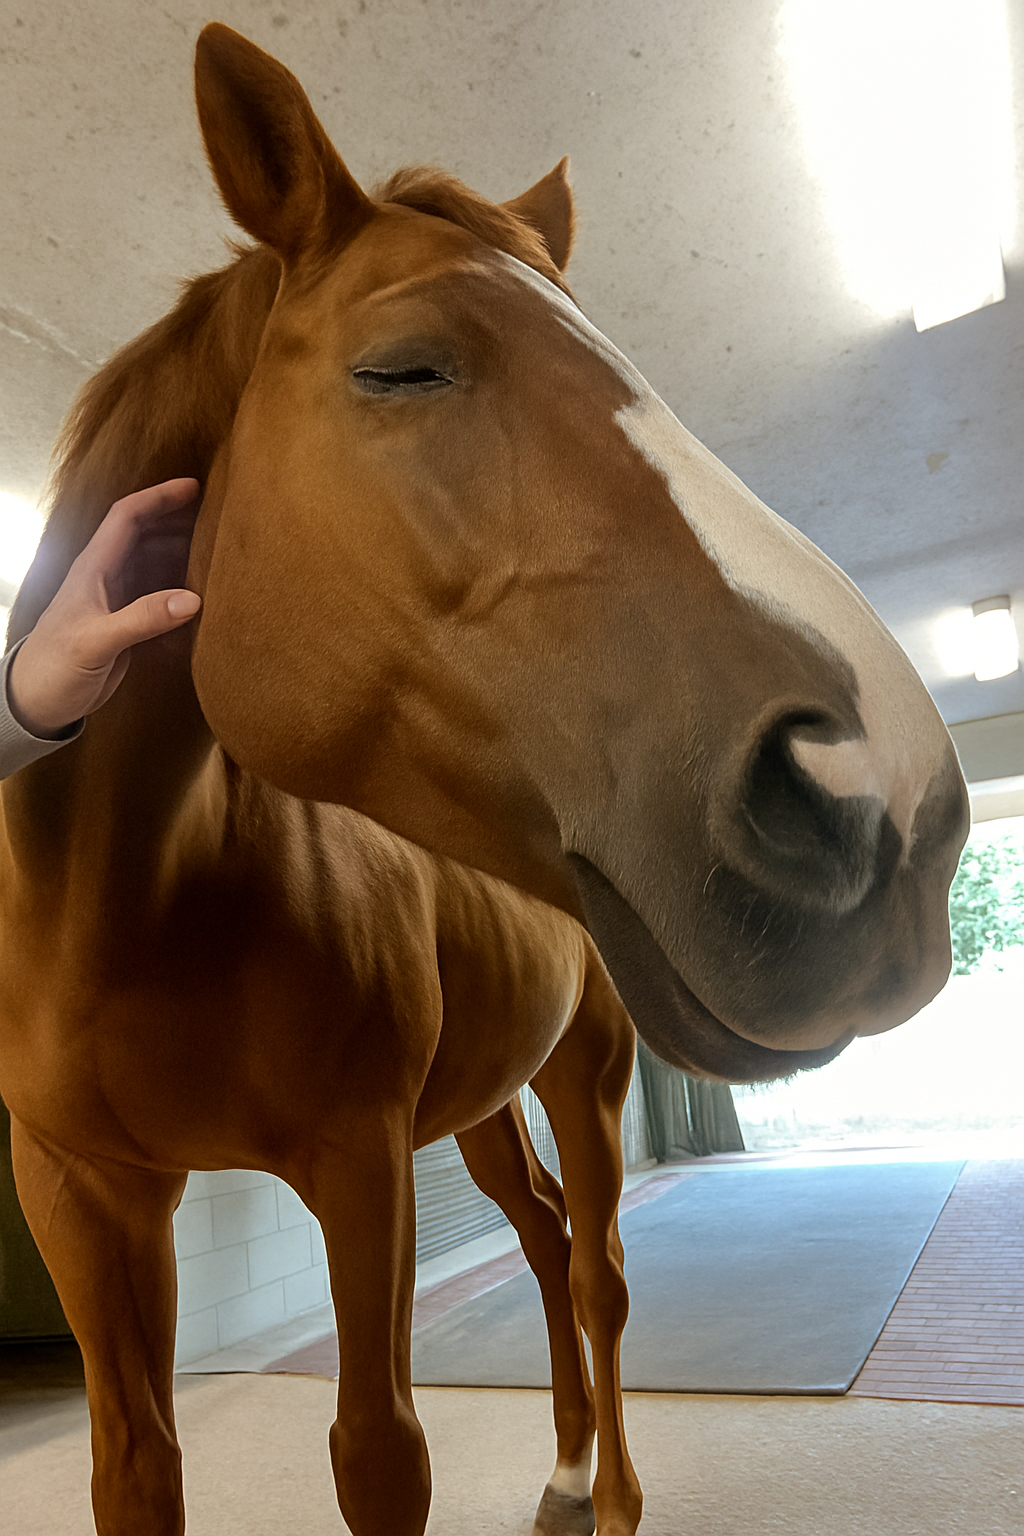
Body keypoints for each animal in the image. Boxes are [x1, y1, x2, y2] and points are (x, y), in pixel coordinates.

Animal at [0, 20, 969, 1536]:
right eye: (402, 369)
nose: (885, 801)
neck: (133, 906)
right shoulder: (84, 1196)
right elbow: (133, 1472)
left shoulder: (358, 1165)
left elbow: (382, 1454)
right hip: (479, 1111)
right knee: (545, 1235)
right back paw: (566, 1468)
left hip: (580, 1075)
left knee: (597, 1270)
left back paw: (609, 1494)